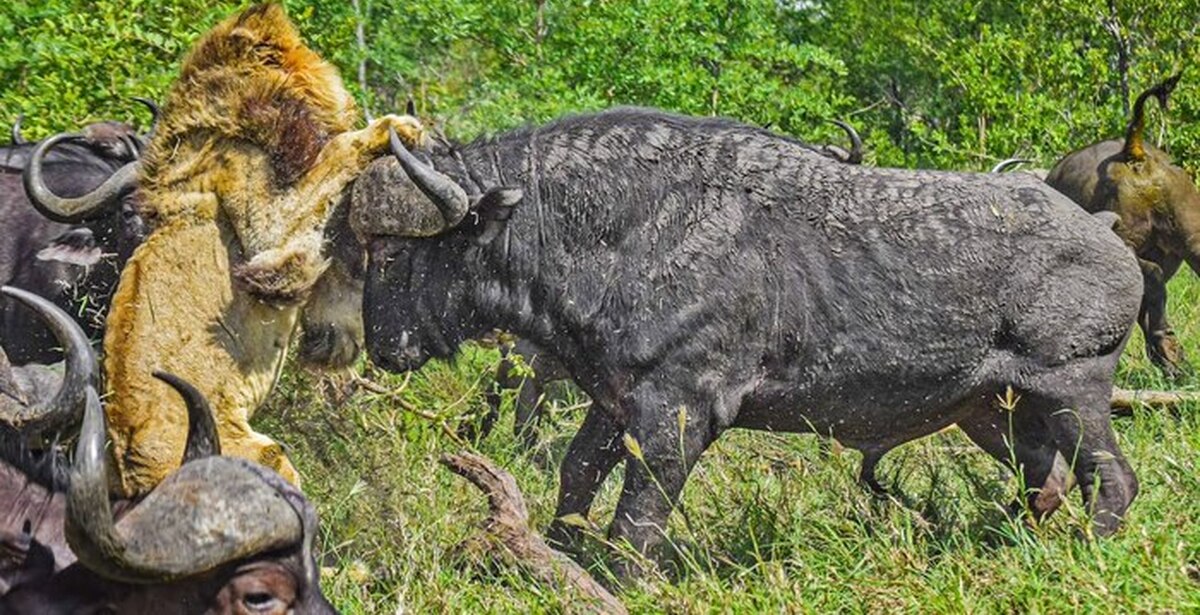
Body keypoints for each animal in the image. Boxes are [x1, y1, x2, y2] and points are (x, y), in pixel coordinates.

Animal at [102, 2, 427, 497]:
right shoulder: (267, 231)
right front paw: (397, 126)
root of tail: (137, 478)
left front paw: (338, 342)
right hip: (260, 454)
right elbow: (337, 153)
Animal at [350, 108, 1142, 569]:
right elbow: (575, 478)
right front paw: (558, 557)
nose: (383, 348)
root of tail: (1107, 237)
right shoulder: (616, 403)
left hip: (1072, 389)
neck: (617, 228)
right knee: (1047, 483)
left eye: (389, 253)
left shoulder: (679, 416)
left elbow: (638, 520)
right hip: (994, 412)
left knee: (1112, 481)